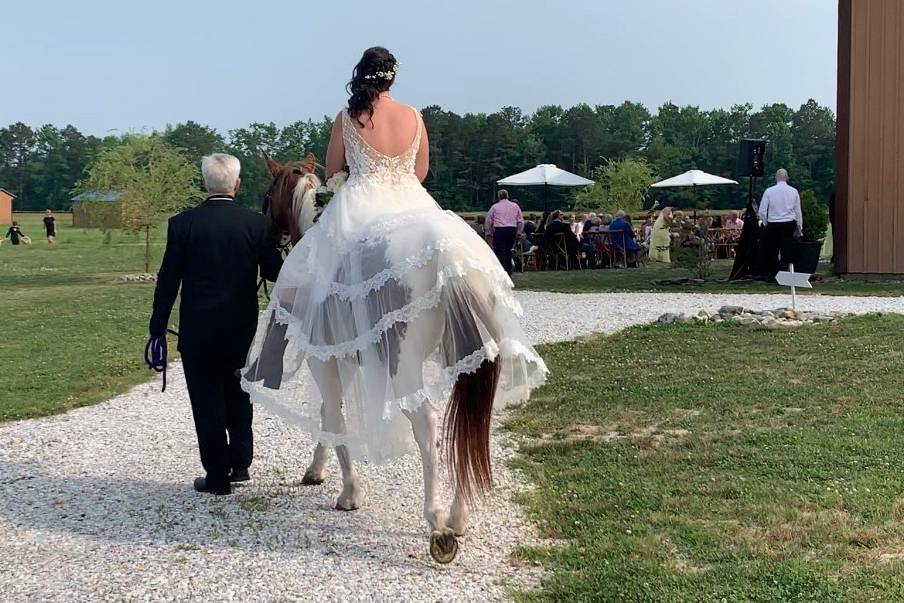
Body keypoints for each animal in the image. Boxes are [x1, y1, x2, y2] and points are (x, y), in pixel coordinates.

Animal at [260, 153, 502, 564]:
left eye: (266, 197)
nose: (268, 239)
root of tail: (449, 254)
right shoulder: (342, 357)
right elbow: (329, 413)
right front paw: (318, 471)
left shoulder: (323, 358)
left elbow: (333, 414)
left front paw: (349, 492)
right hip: (465, 359)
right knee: (465, 426)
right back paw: (458, 515)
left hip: (404, 364)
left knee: (427, 424)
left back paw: (437, 522)